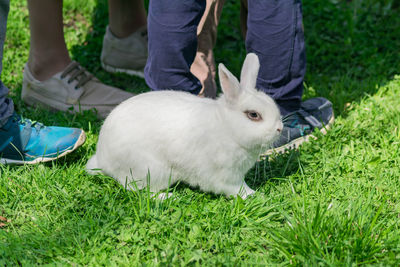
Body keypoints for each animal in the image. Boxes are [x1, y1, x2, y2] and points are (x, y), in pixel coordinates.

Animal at [86, 52, 282, 199]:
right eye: (253, 115)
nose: (279, 128)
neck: (228, 129)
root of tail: (103, 159)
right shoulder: (226, 176)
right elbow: (237, 189)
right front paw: (256, 196)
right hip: (152, 171)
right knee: (139, 190)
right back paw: (168, 197)